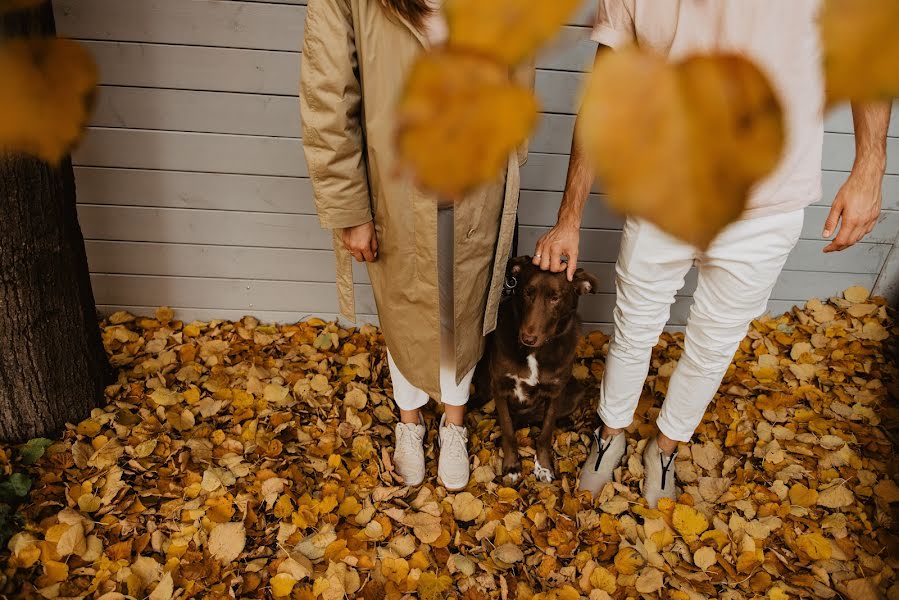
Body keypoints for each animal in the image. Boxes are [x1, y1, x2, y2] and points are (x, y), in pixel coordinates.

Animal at [478, 255, 596, 480]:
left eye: (555, 298)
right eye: (527, 292)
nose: (528, 338)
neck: (534, 352)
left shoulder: (555, 392)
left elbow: (545, 432)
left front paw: (543, 466)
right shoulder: (500, 387)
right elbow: (508, 429)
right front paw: (512, 466)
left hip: (575, 393)